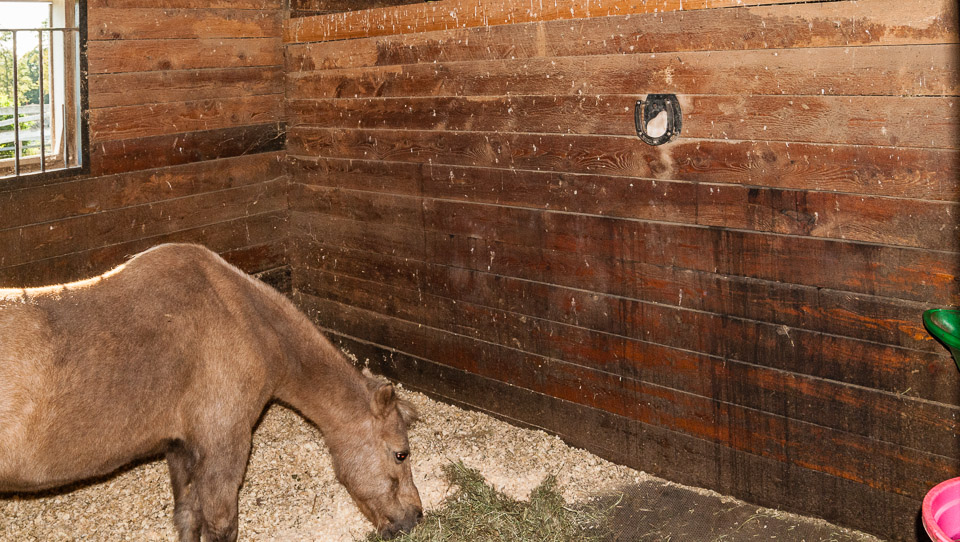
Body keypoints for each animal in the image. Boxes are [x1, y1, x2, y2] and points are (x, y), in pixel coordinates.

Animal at [0, 244, 420, 540]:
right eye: (400, 454)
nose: (415, 517)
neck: (246, 321)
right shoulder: (224, 446)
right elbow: (221, 526)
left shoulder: (182, 448)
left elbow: (188, 518)